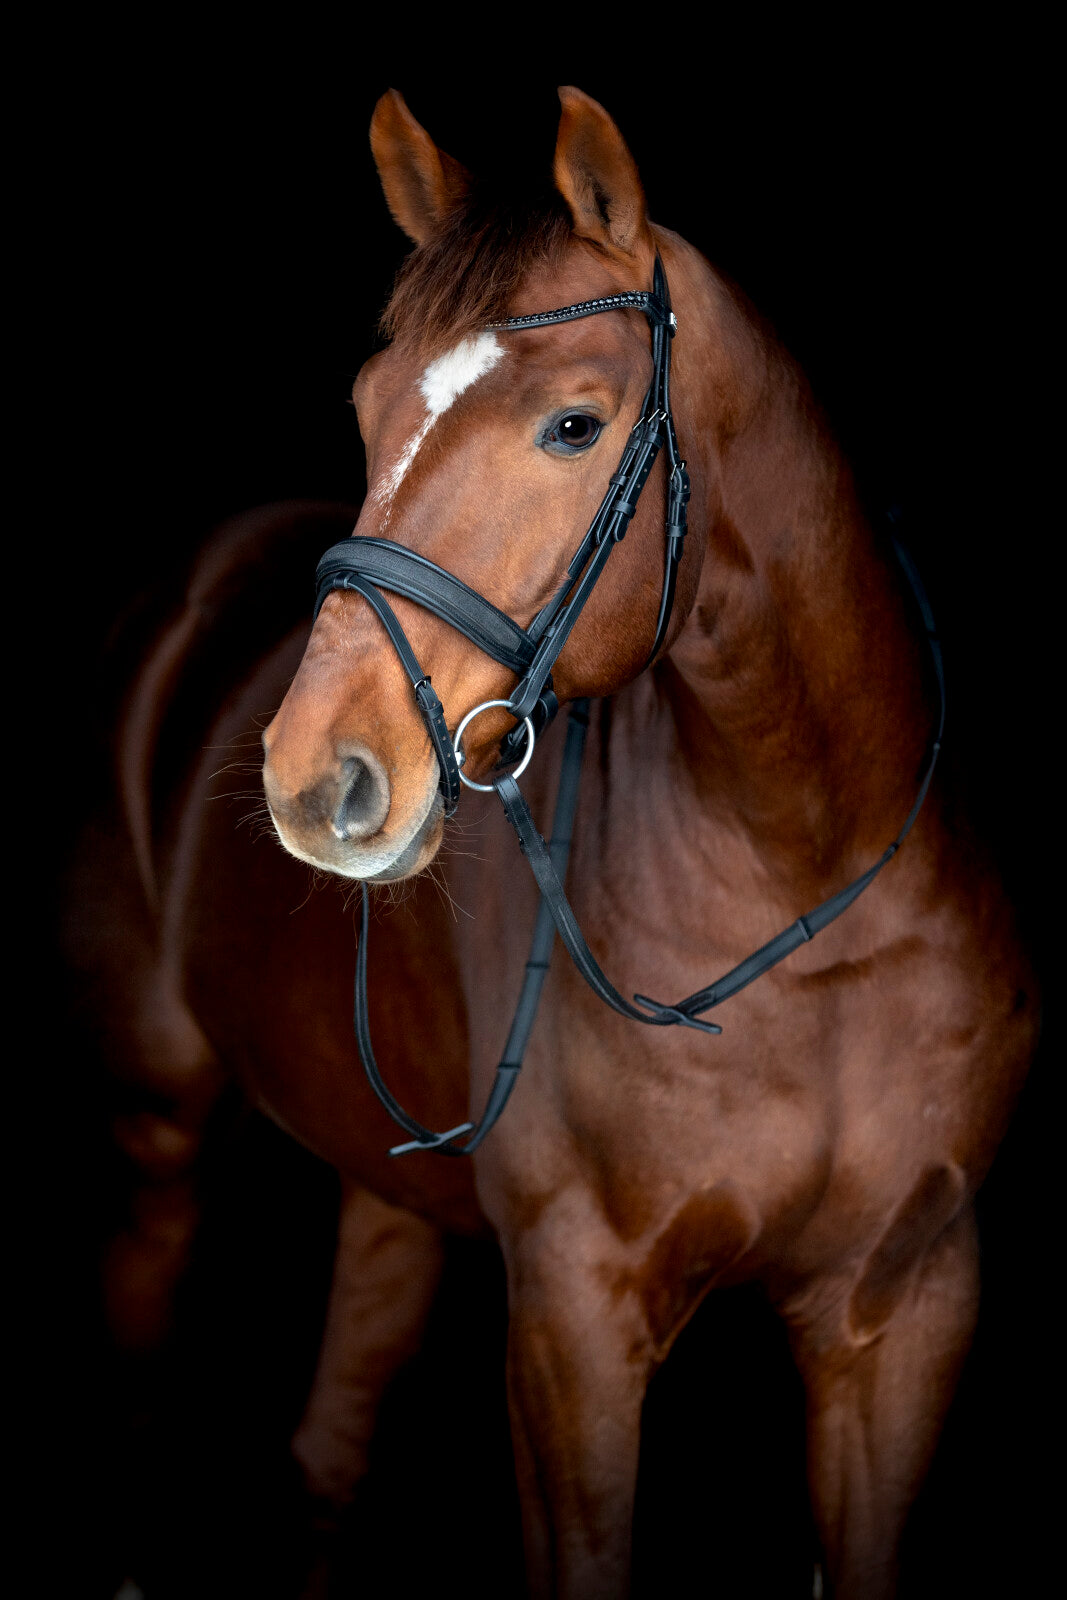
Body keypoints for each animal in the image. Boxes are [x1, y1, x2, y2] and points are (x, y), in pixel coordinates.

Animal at [81, 86, 1037, 1598]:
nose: (311, 774)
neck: (797, 870)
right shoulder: (572, 1320)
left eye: (575, 424)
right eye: (366, 407)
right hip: (156, 1134)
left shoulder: (906, 1303)